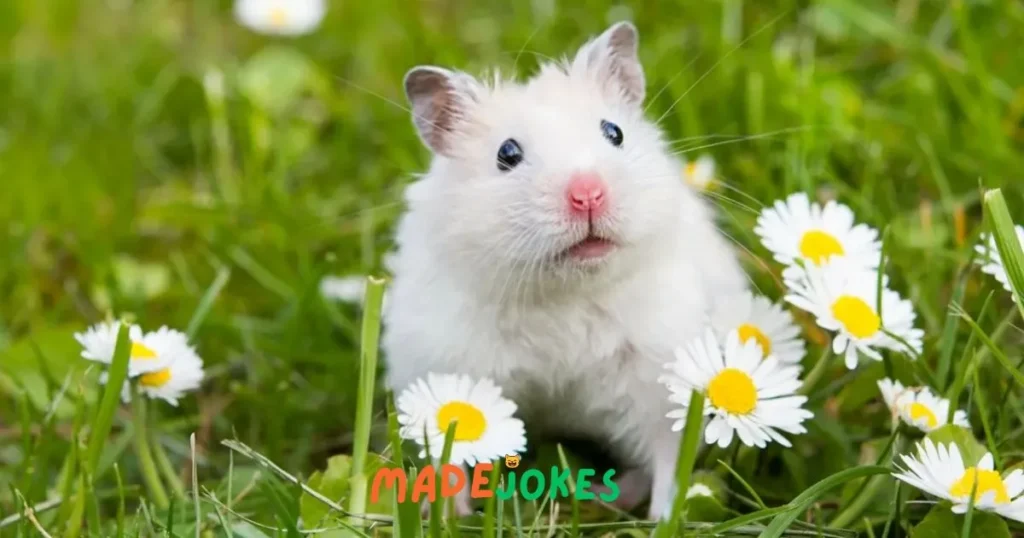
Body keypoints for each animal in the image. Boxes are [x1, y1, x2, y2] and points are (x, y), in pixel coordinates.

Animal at [381, 21, 749, 518]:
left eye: (614, 132)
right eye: (507, 153)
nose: (588, 194)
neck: (564, 292)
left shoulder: (659, 379)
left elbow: (669, 457)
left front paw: (663, 519)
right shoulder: (447, 367)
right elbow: (450, 455)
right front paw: (446, 514)